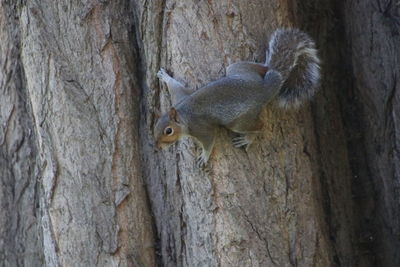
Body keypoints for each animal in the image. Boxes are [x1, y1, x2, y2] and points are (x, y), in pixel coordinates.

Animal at [154, 28, 322, 168]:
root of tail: (264, 89)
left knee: (260, 125)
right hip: (239, 69)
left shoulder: (201, 128)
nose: (158, 147)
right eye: (155, 126)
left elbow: (209, 141)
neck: (183, 114)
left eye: (168, 131)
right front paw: (165, 77)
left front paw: (204, 157)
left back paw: (248, 139)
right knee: (263, 68)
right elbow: (176, 86)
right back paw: (267, 64)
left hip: (240, 121)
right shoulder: (180, 97)